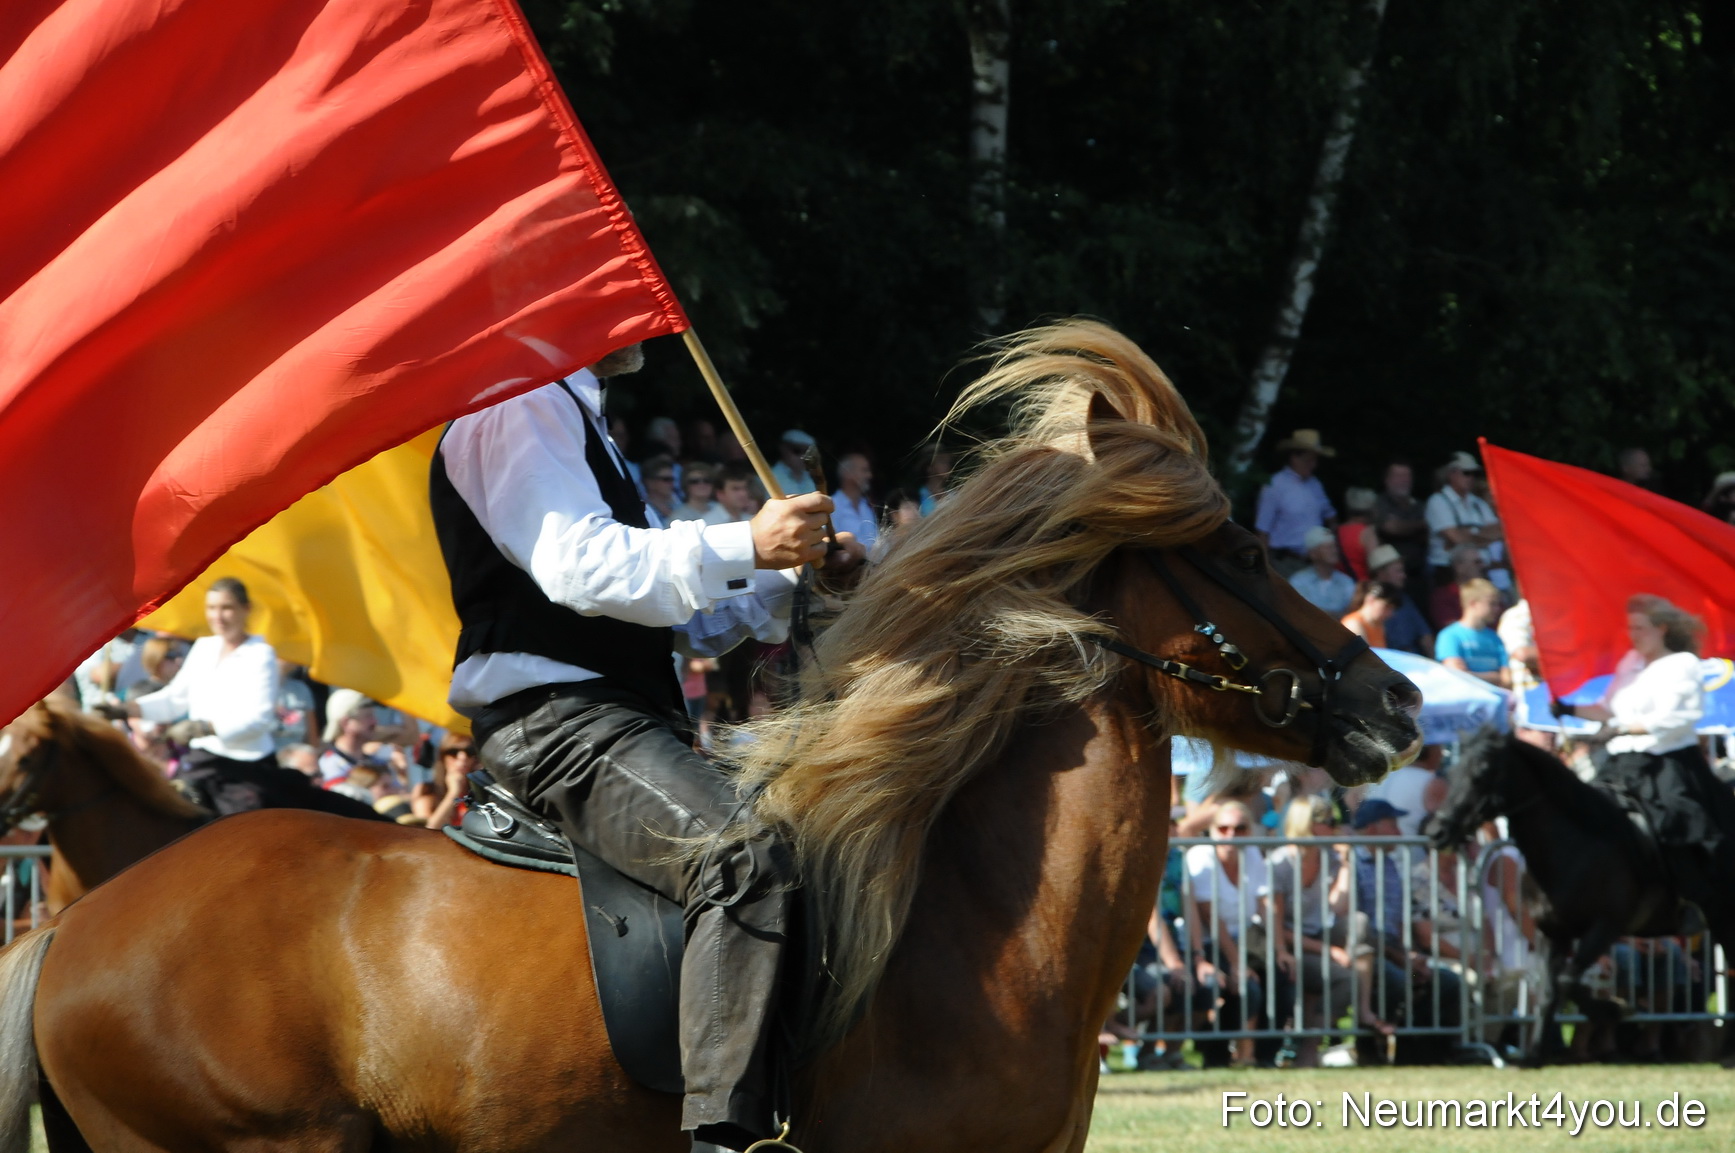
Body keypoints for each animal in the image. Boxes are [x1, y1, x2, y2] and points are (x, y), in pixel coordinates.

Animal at [1429, 729, 1691, 1065]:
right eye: (1452, 772)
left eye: (1482, 773)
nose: (1437, 832)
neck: (1574, 849)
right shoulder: (1553, 932)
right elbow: (1552, 989)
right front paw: (1535, 1054)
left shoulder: (1605, 927)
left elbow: (1566, 980)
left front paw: (1613, 1009)